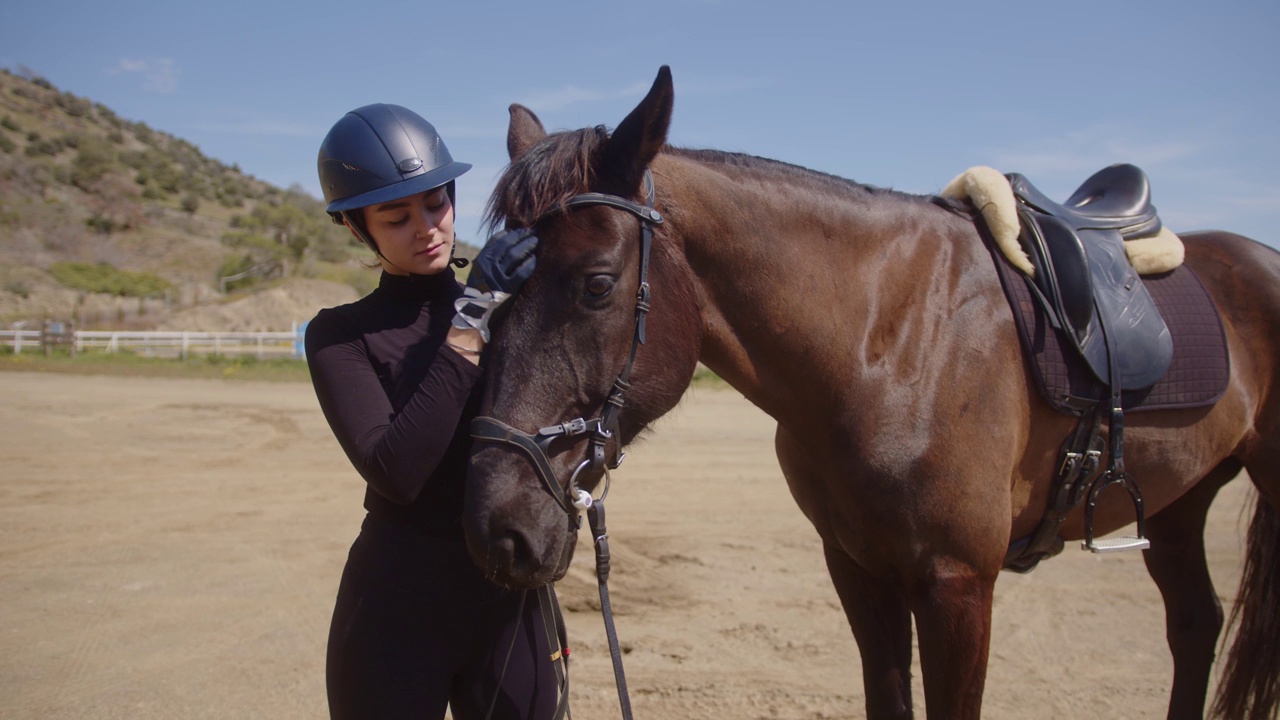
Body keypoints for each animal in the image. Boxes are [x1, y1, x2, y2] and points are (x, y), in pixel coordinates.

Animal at [463, 64, 1280, 712]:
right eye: (494, 288)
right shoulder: (859, 571)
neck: (888, 345)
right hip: (1178, 503)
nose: (495, 528)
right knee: (1195, 626)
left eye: (597, 284)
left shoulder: (957, 586)